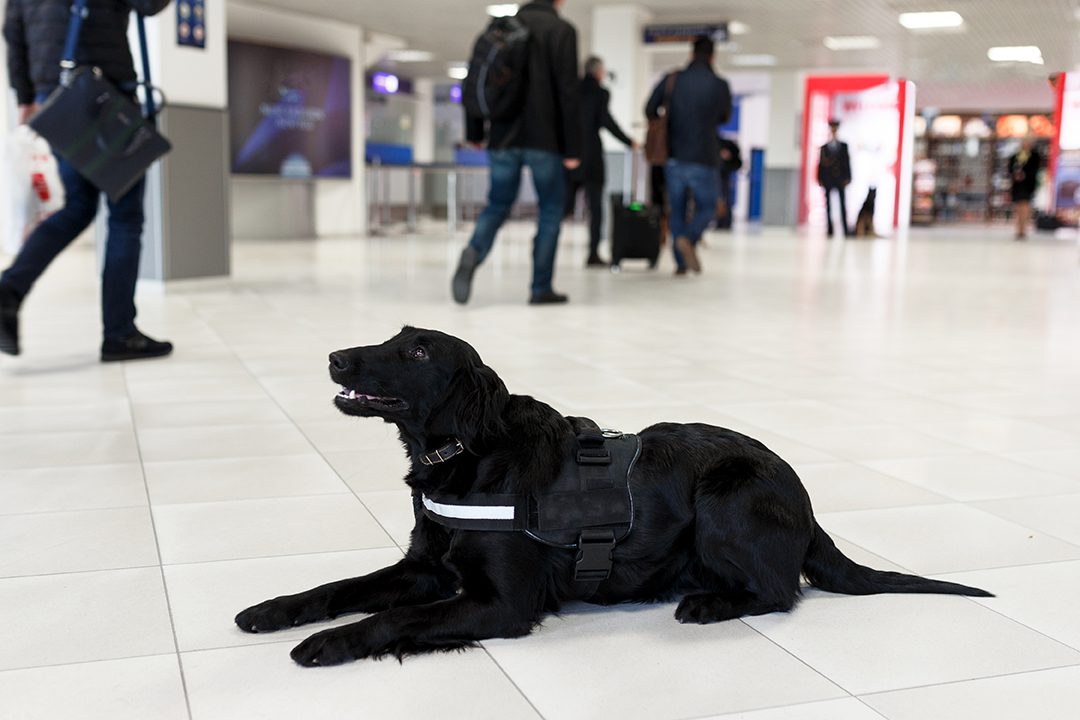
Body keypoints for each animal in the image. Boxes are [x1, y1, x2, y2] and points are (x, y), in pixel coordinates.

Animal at [232, 325, 989, 664]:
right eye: (392, 337)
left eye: (417, 352)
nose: (335, 357)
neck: (465, 459)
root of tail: (804, 502)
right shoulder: (423, 567)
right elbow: (340, 586)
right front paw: (274, 611)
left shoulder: (499, 603)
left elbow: (393, 619)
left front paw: (327, 642)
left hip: (724, 493)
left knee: (781, 590)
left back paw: (707, 603)